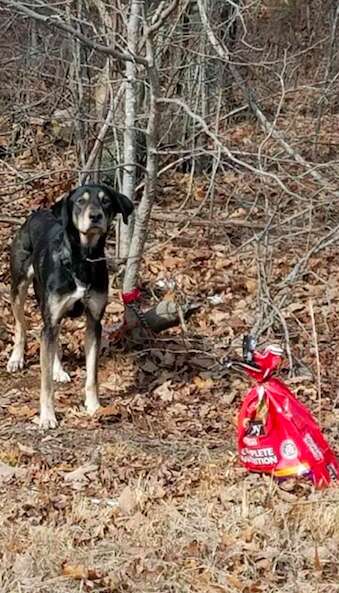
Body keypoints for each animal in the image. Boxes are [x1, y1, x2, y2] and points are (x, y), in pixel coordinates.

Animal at [6, 183, 134, 428]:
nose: (95, 216)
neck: (82, 260)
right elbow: (45, 381)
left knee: (53, 339)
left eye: (106, 201)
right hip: (19, 287)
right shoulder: (50, 317)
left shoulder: (94, 322)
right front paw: (47, 416)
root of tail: (36, 213)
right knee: (21, 324)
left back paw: (58, 369)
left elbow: (92, 374)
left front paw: (94, 406)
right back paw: (16, 358)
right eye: (80, 201)